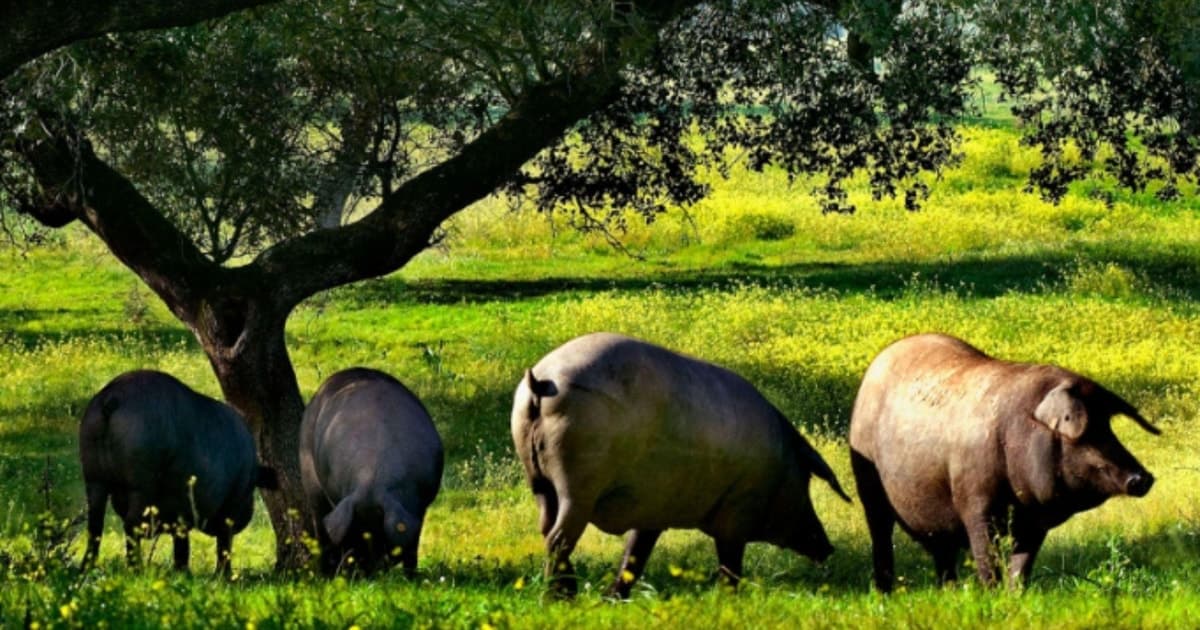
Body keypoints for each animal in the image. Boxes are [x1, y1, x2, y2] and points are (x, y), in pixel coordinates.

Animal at [79, 370, 276, 573]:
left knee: (95, 523)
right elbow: (216, 542)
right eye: (251, 491)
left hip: (93, 476)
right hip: (141, 483)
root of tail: (113, 398)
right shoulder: (229, 503)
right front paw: (219, 575)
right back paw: (136, 569)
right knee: (131, 524)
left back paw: (86, 568)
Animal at [300, 368, 443, 576]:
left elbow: (413, 547)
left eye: (381, 532)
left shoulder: (421, 504)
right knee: (320, 522)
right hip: (310, 478)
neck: (371, 477)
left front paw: (412, 577)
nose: (369, 573)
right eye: (356, 530)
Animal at [511, 332, 850, 598]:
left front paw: (612, 598)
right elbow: (729, 562)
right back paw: (557, 598)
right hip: (578, 485)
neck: (777, 466)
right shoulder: (737, 510)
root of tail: (540, 381)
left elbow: (636, 553)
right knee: (558, 538)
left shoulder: (654, 510)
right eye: (806, 480)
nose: (828, 547)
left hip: (537, 480)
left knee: (546, 528)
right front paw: (729, 598)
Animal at [849, 333, 1160, 591]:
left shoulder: (1034, 520)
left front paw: (1015, 595)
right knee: (881, 535)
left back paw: (949, 591)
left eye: (1108, 426)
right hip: (868, 486)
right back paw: (884, 592)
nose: (1143, 478)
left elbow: (1023, 562)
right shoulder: (976, 501)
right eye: (1085, 432)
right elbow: (986, 554)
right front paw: (991, 594)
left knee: (943, 552)